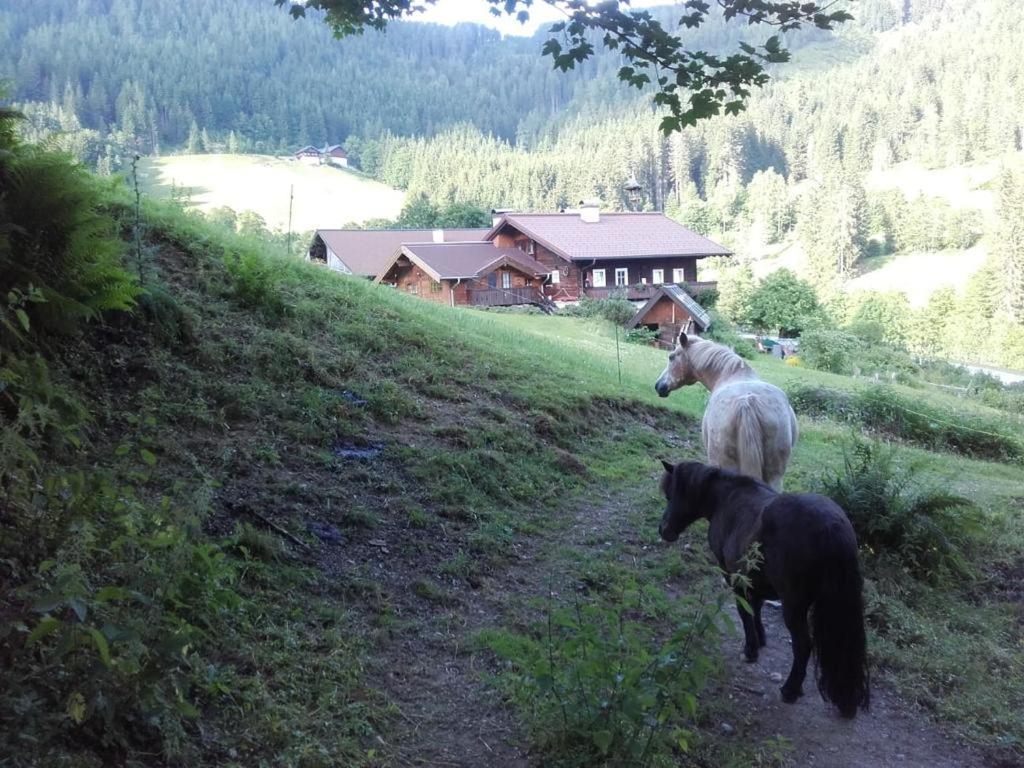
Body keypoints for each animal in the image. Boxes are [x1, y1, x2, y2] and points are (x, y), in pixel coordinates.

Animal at [659, 460, 868, 720]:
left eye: (670, 495)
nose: (663, 529)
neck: (726, 500)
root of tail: (832, 526)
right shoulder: (754, 581)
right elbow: (755, 607)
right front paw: (760, 639)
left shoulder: (732, 575)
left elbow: (744, 611)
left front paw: (750, 649)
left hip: (793, 607)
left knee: (803, 645)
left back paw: (790, 690)